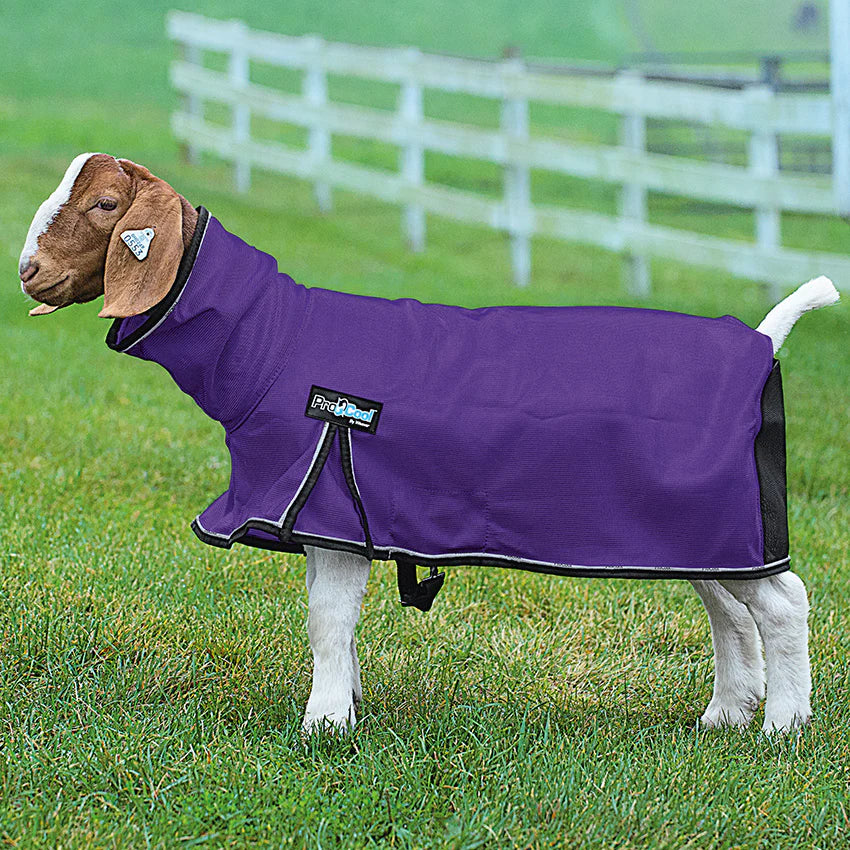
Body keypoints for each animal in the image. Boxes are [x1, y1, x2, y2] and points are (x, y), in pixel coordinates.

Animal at [19, 153, 839, 734]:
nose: (28, 271)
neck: (270, 342)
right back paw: (727, 713)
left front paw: (322, 724)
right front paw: (345, 705)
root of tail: (762, 339)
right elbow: (331, 619)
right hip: (702, 524)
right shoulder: (323, 517)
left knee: (783, 602)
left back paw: (784, 724)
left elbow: (328, 620)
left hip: (724, 516)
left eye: (104, 205)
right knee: (729, 608)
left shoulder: (329, 499)